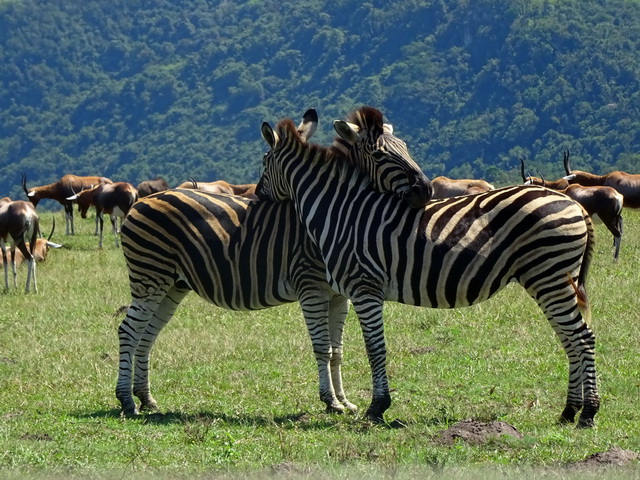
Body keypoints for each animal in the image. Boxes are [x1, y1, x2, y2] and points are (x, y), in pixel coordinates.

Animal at [117, 106, 432, 416]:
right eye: (381, 156)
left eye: (406, 148)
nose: (426, 191)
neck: (337, 212)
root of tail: (142, 200)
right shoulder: (312, 287)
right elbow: (322, 347)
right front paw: (330, 401)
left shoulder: (340, 295)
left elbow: (337, 351)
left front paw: (344, 401)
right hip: (150, 277)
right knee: (128, 331)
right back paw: (127, 400)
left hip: (172, 285)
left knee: (146, 334)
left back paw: (146, 398)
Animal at [255, 116, 600, 428]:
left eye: (263, 162)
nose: (257, 195)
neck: (342, 212)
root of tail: (572, 202)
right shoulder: (352, 291)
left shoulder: (365, 288)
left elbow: (374, 348)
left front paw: (377, 408)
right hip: (551, 278)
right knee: (570, 338)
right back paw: (569, 412)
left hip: (548, 275)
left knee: (582, 337)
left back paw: (588, 413)